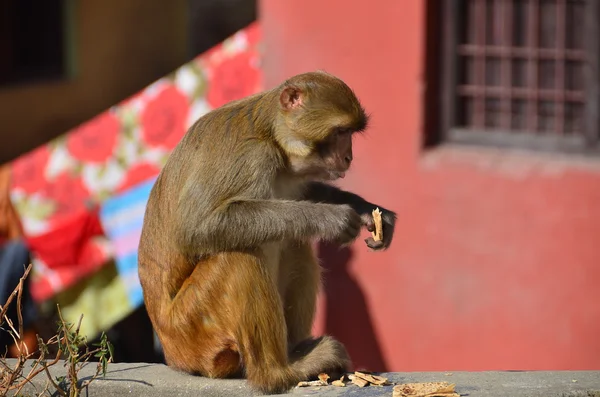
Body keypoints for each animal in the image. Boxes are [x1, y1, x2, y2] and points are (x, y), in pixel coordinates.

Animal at [138, 71, 396, 392]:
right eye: (340, 132)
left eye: (350, 133)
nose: (349, 157)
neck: (272, 137)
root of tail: (172, 354)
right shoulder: (250, 156)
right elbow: (194, 229)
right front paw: (330, 218)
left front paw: (366, 210)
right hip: (193, 330)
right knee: (242, 253)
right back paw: (278, 373)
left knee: (293, 242)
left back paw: (297, 353)